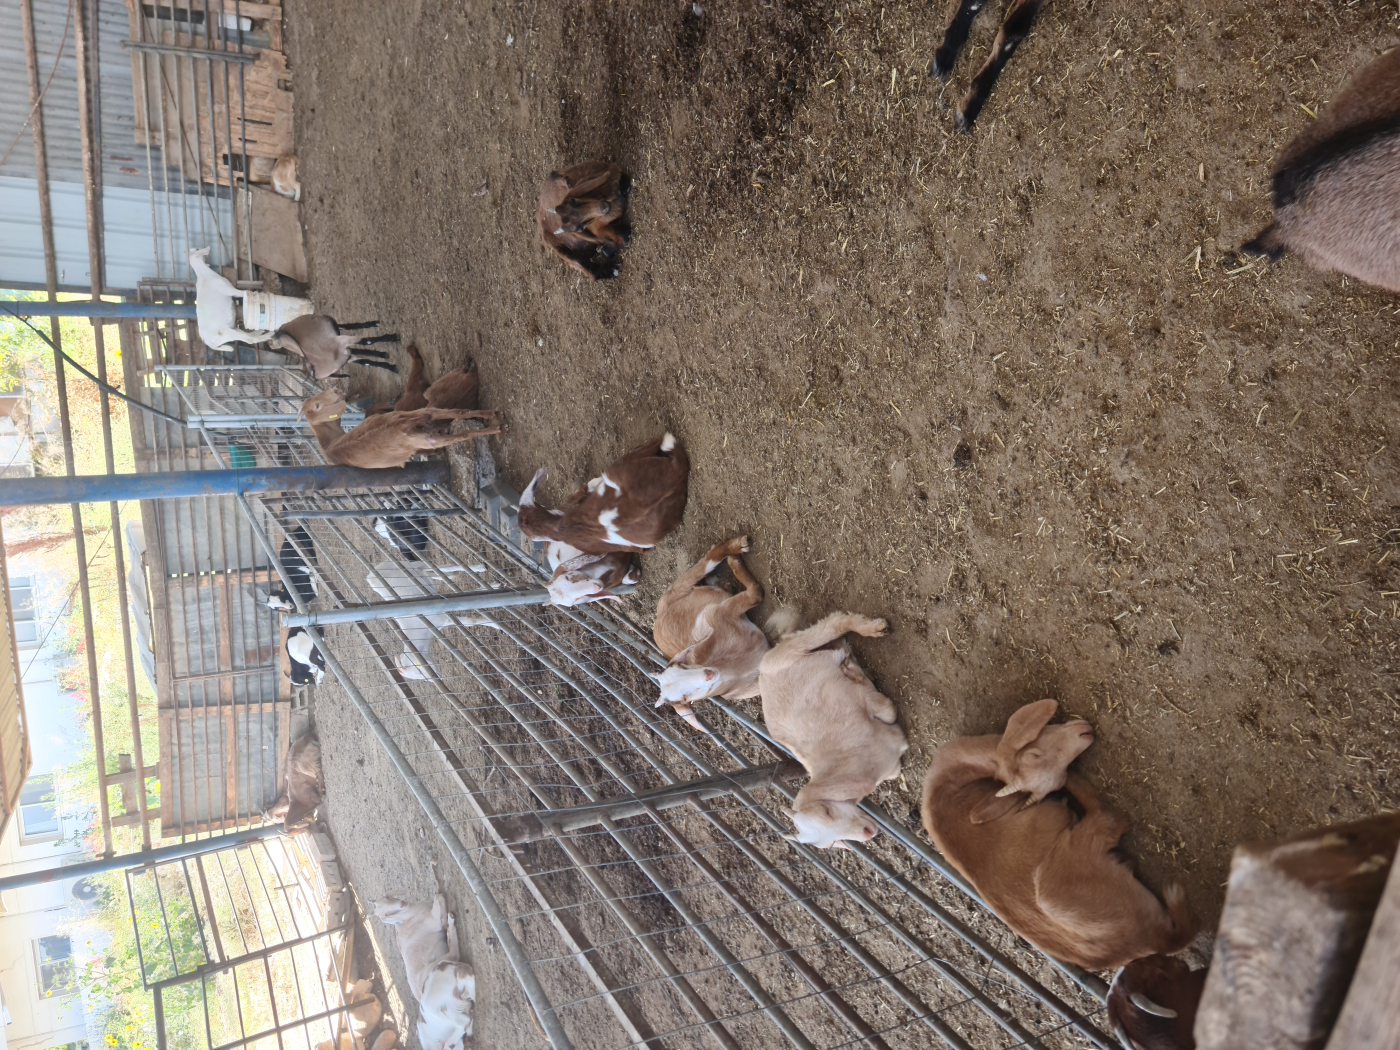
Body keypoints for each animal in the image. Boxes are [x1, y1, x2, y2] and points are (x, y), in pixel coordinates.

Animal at [298, 391, 505, 469]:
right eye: (317, 405)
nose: (337, 391)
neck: (329, 445)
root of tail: (397, 426)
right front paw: (437, 453)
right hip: (421, 416)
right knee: (457, 412)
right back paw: (495, 415)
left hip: (421, 435)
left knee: (462, 434)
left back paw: (497, 428)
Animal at [366, 559, 499, 679]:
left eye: (419, 670)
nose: (438, 677)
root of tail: (371, 574)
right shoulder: (443, 622)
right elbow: (467, 622)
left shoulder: (442, 613)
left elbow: (470, 621)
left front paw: (495, 624)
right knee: (430, 572)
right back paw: (452, 575)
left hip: (409, 564)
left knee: (438, 566)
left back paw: (479, 568)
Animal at [653, 536, 768, 730]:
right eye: (684, 698)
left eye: (683, 666)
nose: (708, 674)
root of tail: (658, 618)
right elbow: (755, 594)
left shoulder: (717, 613)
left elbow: (754, 594)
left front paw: (734, 563)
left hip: (676, 591)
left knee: (709, 558)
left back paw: (735, 550)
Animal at [758, 612, 906, 848]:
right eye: (833, 843)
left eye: (826, 811)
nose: (868, 832)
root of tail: (762, 675)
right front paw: (854, 670)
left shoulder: (857, 699)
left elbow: (889, 710)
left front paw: (853, 672)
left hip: (788, 654)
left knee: (834, 623)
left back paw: (871, 630)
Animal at [921, 699, 1196, 970]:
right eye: (1033, 755)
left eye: (1052, 787)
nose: (1085, 734)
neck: (946, 790)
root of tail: (1156, 939)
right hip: (1061, 877)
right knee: (1111, 818)